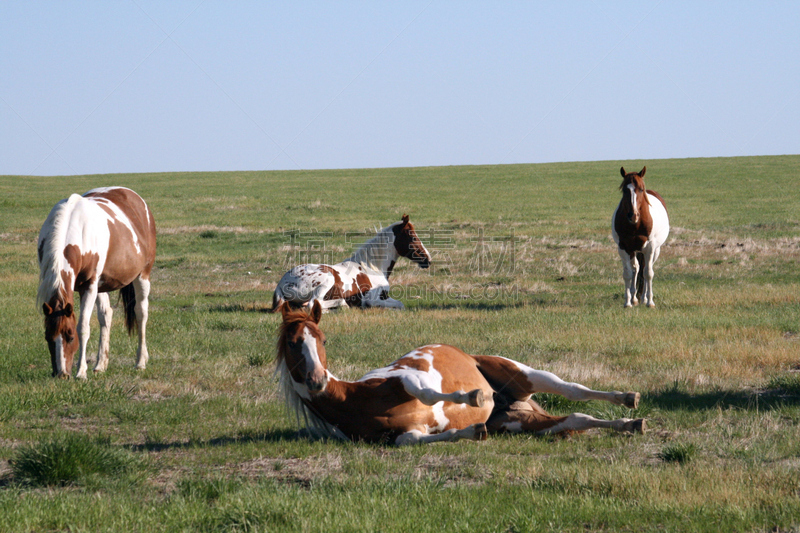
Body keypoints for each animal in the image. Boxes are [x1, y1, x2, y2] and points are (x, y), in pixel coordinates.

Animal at [36, 187, 157, 378]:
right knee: (106, 315)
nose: (61, 374)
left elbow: (83, 327)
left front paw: (81, 372)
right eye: (48, 337)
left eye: (70, 336)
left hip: (142, 275)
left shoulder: (89, 286)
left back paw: (140, 361)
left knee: (141, 313)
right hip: (103, 285)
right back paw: (101, 365)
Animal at [272, 213, 432, 310]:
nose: (428, 259)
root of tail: (281, 283)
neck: (372, 268)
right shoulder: (373, 299)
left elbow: (400, 304)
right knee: (313, 304)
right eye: (412, 237)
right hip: (327, 279)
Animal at [278, 300, 648, 444]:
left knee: (572, 390)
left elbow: (428, 392)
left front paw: (474, 395)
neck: (354, 399)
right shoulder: (403, 435)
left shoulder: (407, 378)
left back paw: (628, 398)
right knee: (576, 418)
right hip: (520, 424)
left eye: (323, 339)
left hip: (524, 374)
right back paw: (630, 423)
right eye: (294, 343)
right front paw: (473, 429)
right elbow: (412, 438)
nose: (317, 380)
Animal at [612, 166, 668, 308]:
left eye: (641, 189)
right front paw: (627, 302)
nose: (633, 215)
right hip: (634, 250)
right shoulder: (623, 247)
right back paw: (635, 298)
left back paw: (644, 298)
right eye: (624, 190)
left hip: (655, 250)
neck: (635, 225)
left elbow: (648, 273)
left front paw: (650, 302)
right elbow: (628, 273)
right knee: (636, 269)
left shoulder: (650, 247)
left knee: (645, 269)